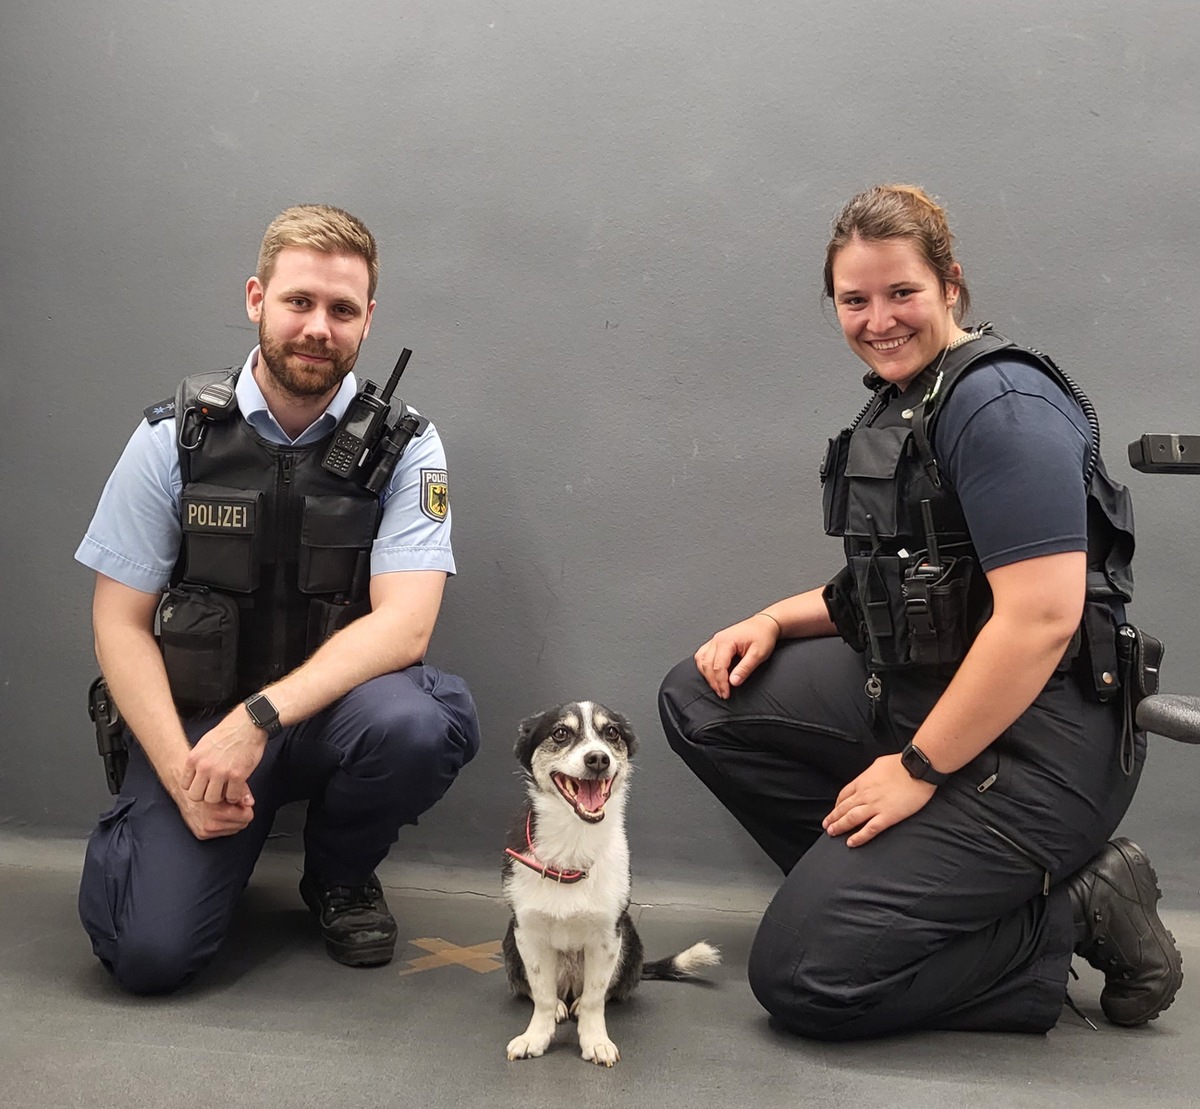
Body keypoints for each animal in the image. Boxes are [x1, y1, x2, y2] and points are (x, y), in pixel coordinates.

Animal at [501, 700, 715, 1065]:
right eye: (560, 733)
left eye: (611, 732)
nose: (598, 759)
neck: (574, 843)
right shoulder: (527, 933)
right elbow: (541, 995)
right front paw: (536, 1037)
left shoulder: (607, 938)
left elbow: (594, 999)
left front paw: (594, 1041)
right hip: (509, 944)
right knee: (545, 993)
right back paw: (559, 1007)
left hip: (629, 938)